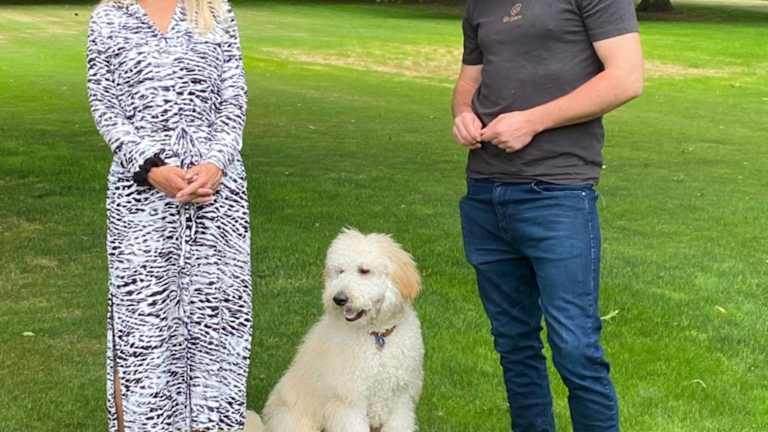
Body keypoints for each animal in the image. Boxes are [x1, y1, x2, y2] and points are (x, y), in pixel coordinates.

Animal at [248, 228, 424, 432]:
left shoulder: (400, 398)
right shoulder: (349, 401)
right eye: (340, 271)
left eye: (364, 271)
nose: (339, 299)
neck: (377, 336)